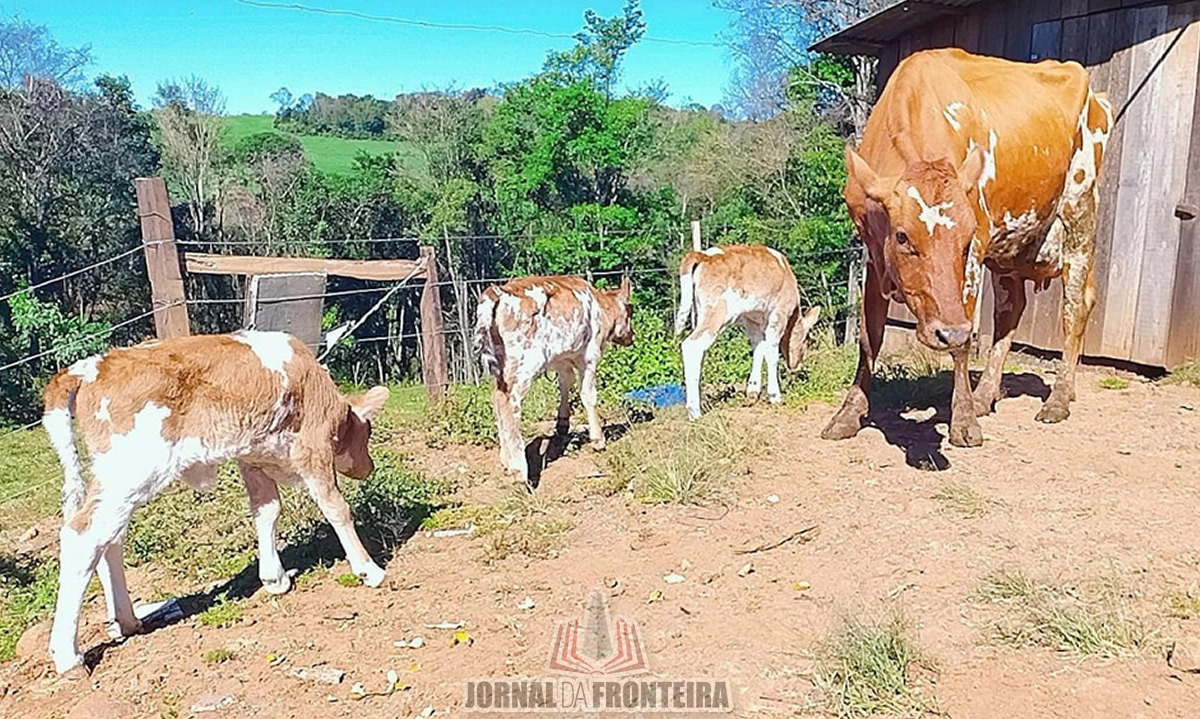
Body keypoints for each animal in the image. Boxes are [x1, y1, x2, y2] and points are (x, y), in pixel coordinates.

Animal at [41, 331, 388, 676]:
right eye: (367, 431)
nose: (368, 466)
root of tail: (91, 367)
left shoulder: (252, 457)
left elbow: (267, 510)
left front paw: (274, 577)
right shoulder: (312, 448)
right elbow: (336, 508)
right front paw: (369, 569)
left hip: (117, 481)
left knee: (110, 539)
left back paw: (127, 621)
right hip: (133, 472)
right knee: (83, 536)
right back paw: (68, 656)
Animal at [472, 276, 633, 484]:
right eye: (630, 311)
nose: (632, 336)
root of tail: (497, 292)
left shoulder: (561, 359)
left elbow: (565, 383)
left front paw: (562, 424)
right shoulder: (590, 355)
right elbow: (588, 395)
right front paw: (598, 440)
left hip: (501, 366)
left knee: (497, 398)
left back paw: (505, 459)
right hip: (526, 362)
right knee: (509, 402)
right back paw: (518, 468)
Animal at [825, 47, 1113, 446]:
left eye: (963, 239)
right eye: (902, 236)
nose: (945, 330)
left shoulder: (977, 248)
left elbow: (962, 341)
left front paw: (962, 421)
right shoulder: (872, 255)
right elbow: (869, 336)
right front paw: (848, 414)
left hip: (1079, 215)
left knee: (1075, 307)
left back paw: (1057, 398)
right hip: (1012, 249)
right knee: (1010, 311)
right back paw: (985, 395)